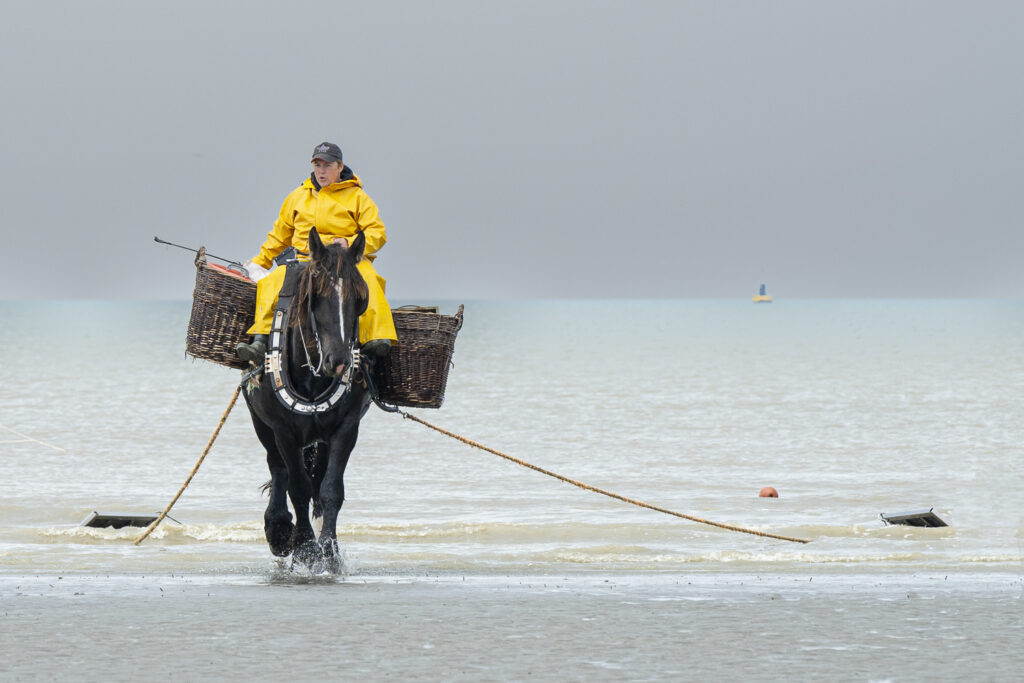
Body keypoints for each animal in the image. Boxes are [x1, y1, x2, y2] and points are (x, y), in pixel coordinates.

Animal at [242, 227, 371, 571]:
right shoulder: (283, 430)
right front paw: (305, 547)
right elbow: (297, 486)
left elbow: (331, 489)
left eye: (359, 299)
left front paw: (329, 550)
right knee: (278, 468)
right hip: (261, 423)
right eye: (318, 296)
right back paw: (278, 528)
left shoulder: (346, 428)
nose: (338, 361)